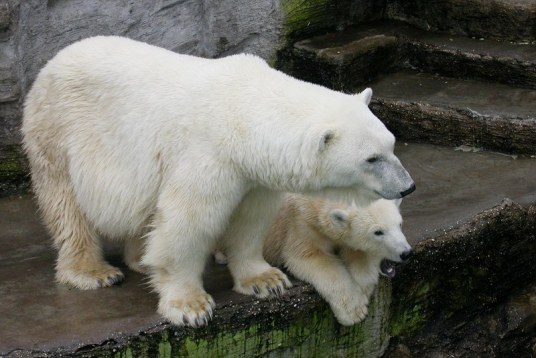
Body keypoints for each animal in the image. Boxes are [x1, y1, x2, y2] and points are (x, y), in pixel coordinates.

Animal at [262, 194, 408, 326]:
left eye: (400, 224)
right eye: (378, 232)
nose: (406, 253)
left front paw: (364, 284)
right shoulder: (299, 225)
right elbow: (311, 257)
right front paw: (355, 311)